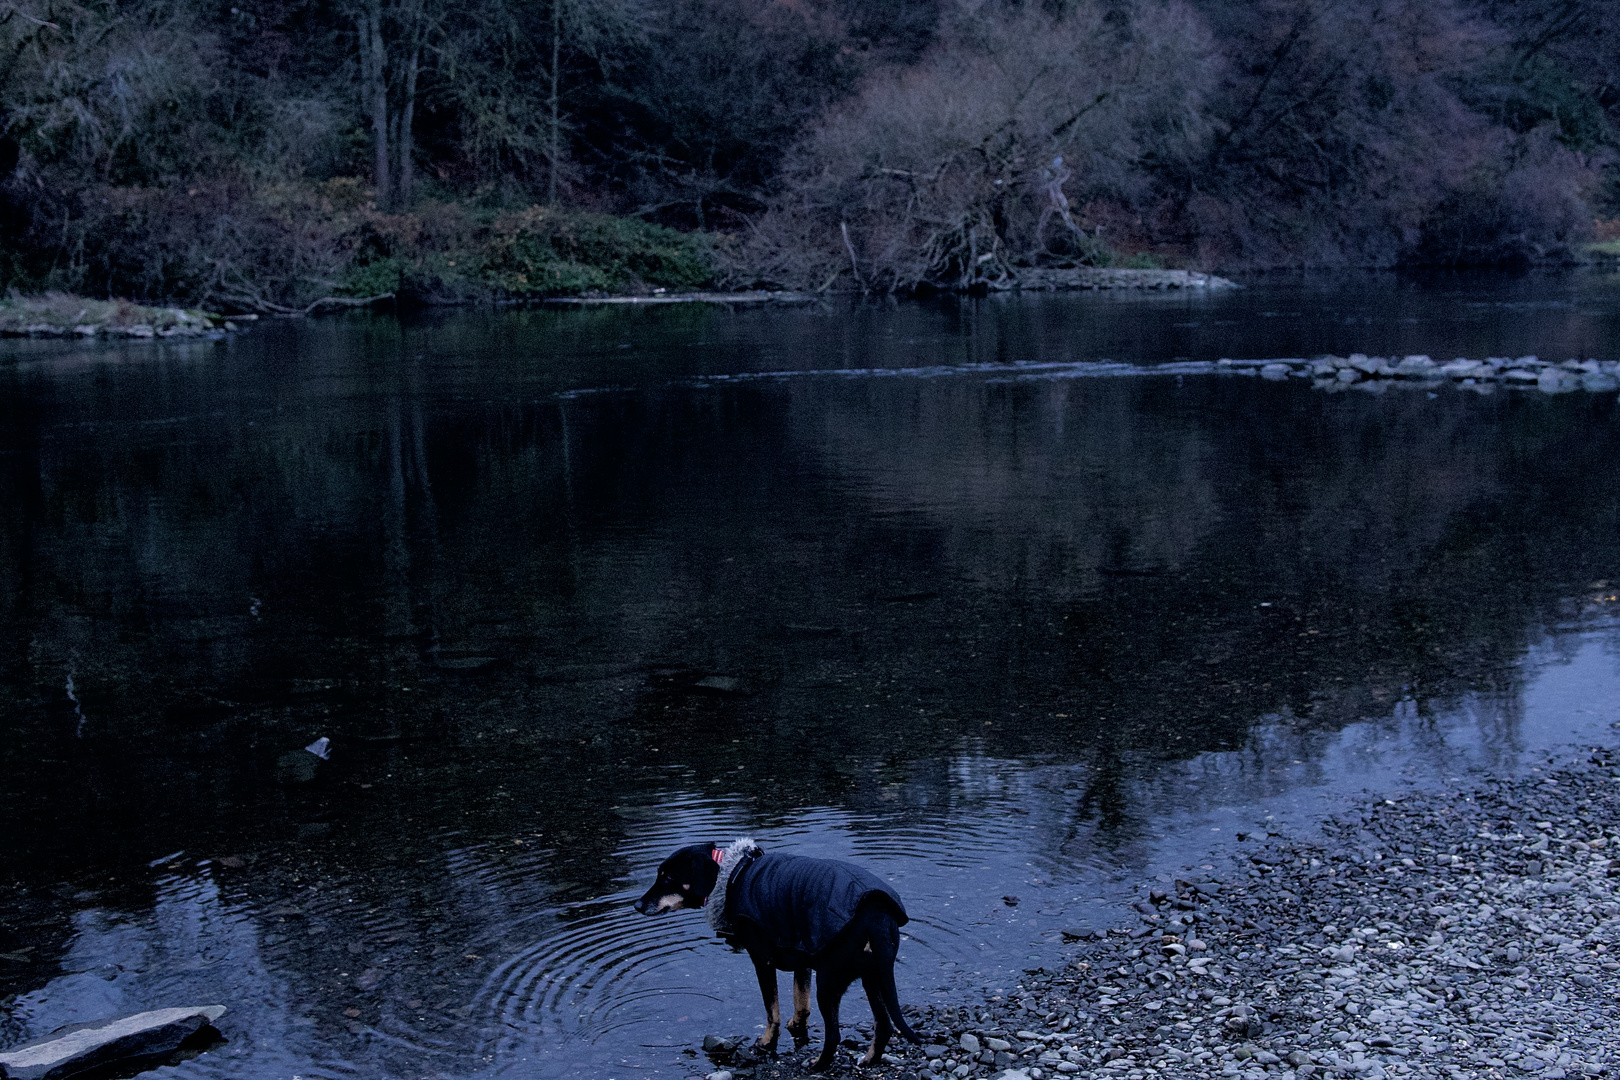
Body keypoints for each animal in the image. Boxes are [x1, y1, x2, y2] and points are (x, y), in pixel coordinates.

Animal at [635, 841, 926, 1068]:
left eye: (668, 877)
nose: (637, 905)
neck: (733, 875)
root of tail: (875, 912)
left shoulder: (762, 961)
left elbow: (771, 1010)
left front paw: (766, 1042)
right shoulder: (803, 953)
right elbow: (801, 1002)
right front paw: (796, 1025)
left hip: (830, 980)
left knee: (834, 1035)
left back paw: (818, 1065)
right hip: (873, 975)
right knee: (884, 1025)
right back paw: (869, 1060)